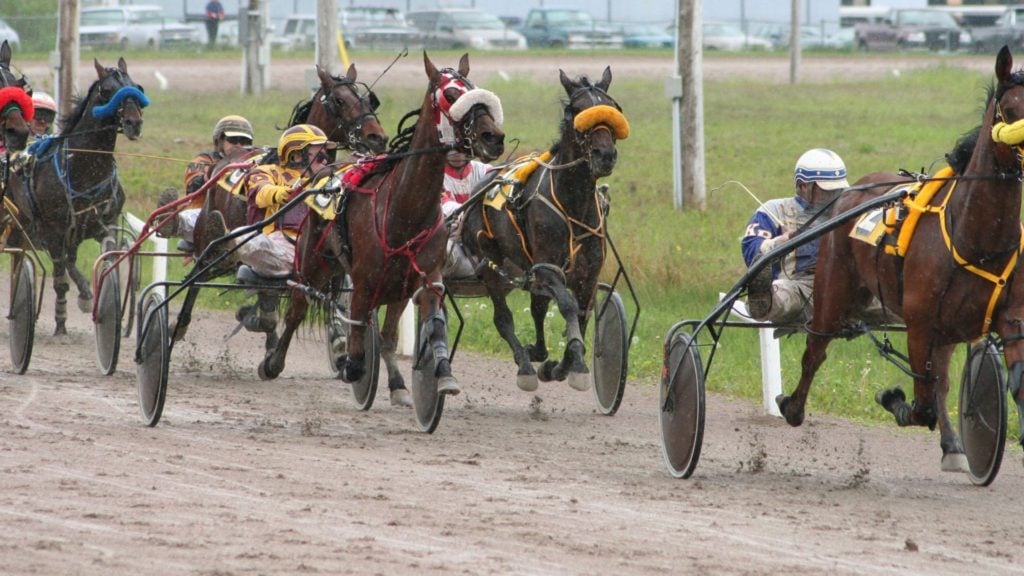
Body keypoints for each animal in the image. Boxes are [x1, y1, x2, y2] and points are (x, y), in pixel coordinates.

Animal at [7, 56, 146, 334]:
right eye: (107, 90)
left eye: (136, 87)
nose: (134, 123)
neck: (84, 169)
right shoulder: (53, 231)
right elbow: (61, 278)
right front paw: (66, 317)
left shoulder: (103, 223)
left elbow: (107, 252)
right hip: (24, 223)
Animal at [256, 52, 503, 412]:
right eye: (451, 95)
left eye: (474, 88)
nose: (493, 137)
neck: (405, 210)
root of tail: (323, 174)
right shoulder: (363, 280)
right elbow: (358, 337)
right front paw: (353, 368)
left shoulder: (423, 278)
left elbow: (413, 331)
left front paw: (434, 377)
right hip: (312, 263)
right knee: (298, 307)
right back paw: (273, 362)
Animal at [460, 66, 626, 389]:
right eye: (576, 110)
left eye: (612, 108)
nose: (605, 155)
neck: (573, 204)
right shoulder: (548, 268)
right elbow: (568, 306)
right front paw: (576, 365)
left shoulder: (588, 274)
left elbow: (582, 314)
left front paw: (562, 366)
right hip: (490, 264)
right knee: (503, 318)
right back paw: (525, 366)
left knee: (537, 307)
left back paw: (536, 354)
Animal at [774, 45, 1024, 471]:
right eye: (1009, 111)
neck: (974, 236)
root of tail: (855, 189)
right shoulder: (920, 321)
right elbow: (921, 404)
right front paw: (892, 397)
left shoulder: (1009, 321)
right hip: (834, 290)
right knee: (815, 349)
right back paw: (791, 406)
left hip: (945, 327)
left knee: (940, 380)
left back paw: (953, 445)